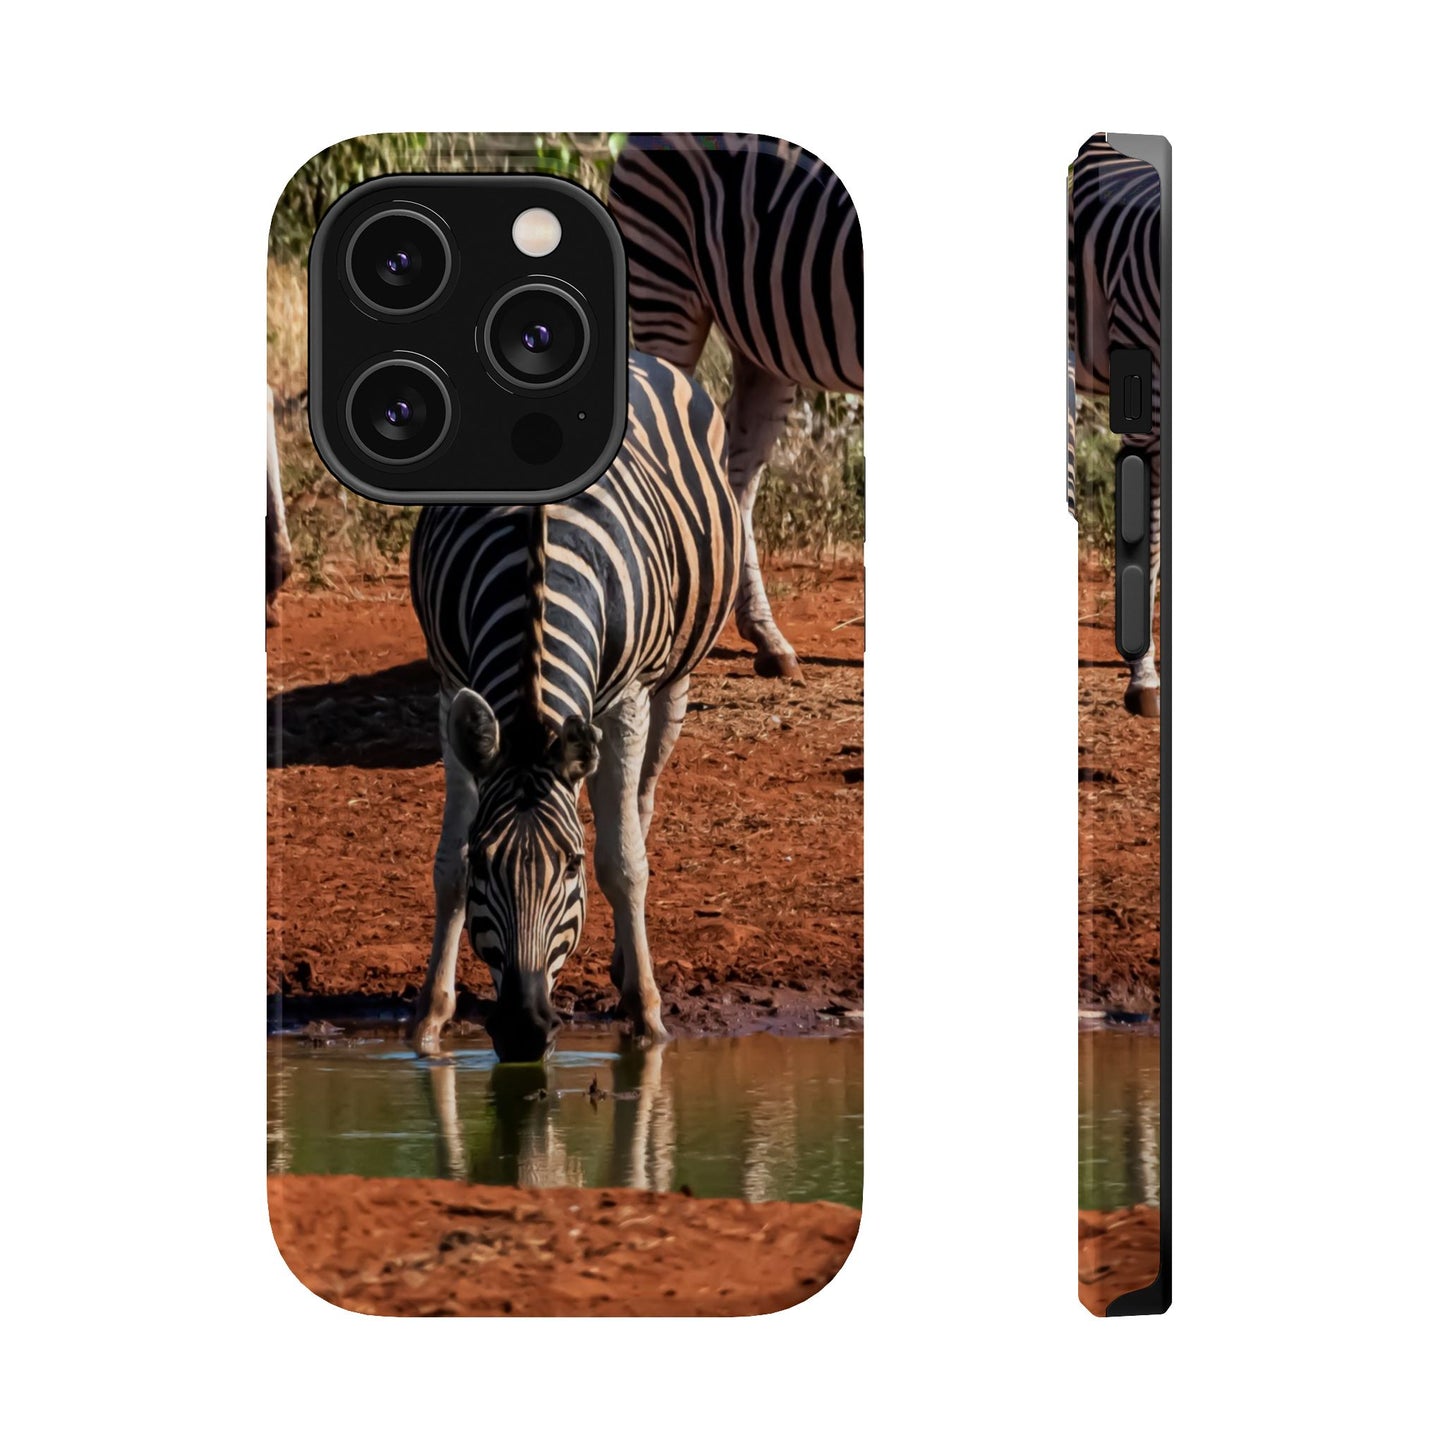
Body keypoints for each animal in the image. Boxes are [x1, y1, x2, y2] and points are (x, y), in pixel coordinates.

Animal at [409, 352, 741, 1061]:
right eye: (487, 862)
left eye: (570, 866)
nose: (524, 1030)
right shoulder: (451, 687)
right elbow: (447, 866)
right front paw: (429, 1019)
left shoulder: (628, 699)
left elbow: (624, 863)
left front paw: (647, 1017)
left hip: (672, 683)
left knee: (639, 806)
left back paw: (626, 966)